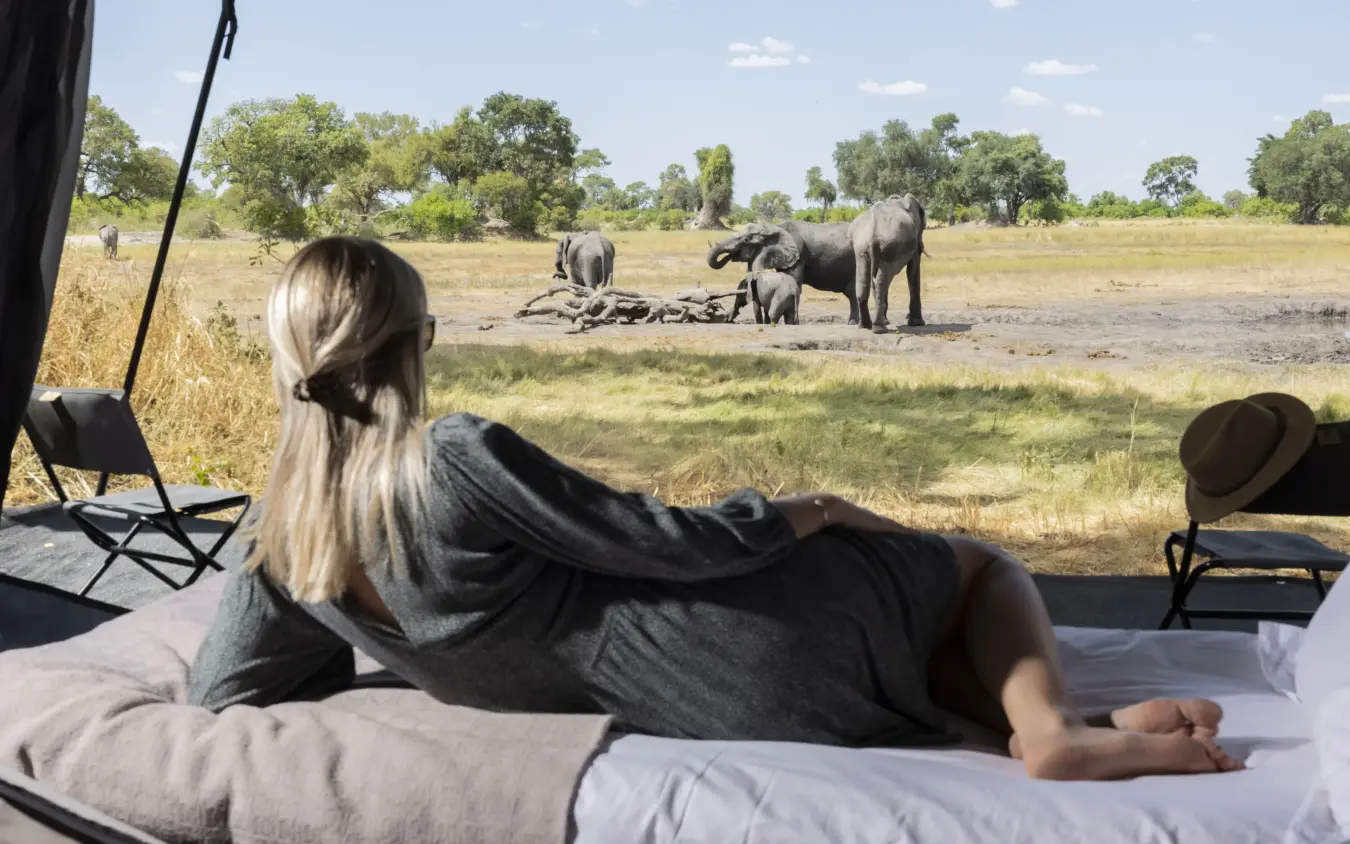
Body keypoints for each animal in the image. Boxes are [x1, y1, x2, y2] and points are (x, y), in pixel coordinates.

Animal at [708, 220, 859, 324]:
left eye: (745, 240)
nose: (730, 255)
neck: (773, 227)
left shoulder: (798, 256)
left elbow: (795, 282)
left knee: (853, 293)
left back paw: (852, 323)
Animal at [849, 194, 928, 333]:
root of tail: (872, 229)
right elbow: (913, 271)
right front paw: (917, 323)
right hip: (889, 245)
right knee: (882, 281)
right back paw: (880, 329)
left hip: (861, 247)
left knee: (864, 281)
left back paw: (866, 326)